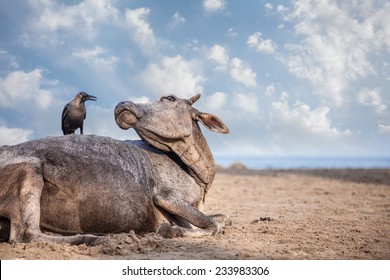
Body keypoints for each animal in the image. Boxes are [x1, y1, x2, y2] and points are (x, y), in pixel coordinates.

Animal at [0, 94, 230, 245]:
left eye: (170, 98)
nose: (123, 104)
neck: (195, 172)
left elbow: (219, 218)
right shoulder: (167, 197)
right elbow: (214, 225)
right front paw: (170, 230)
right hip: (30, 170)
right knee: (26, 234)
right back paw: (93, 238)